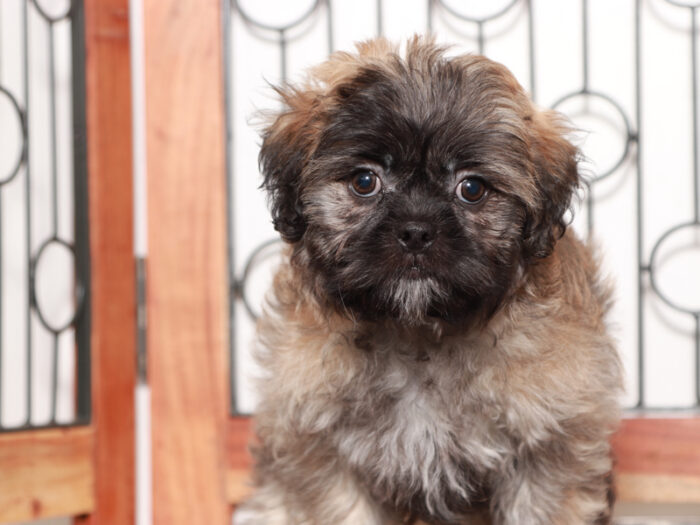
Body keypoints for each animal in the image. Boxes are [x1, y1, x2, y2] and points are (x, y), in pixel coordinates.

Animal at [237, 36, 624, 524]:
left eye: (472, 189)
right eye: (364, 181)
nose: (417, 231)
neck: (417, 332)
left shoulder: (550, 441)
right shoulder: (318, 445)